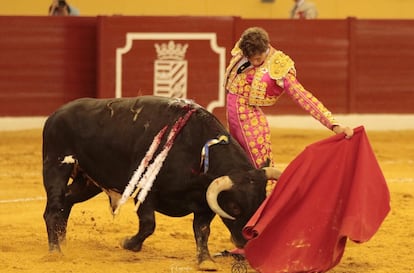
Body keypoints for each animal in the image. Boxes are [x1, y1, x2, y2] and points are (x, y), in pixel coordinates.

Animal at [42, 95, 280, 268]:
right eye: (234, 207)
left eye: (262, 202)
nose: (246, 241)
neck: (196, 151)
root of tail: (55, 114)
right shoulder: (145, 191)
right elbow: (149, 224)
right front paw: (128, 243)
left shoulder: (204, 203)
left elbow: (202, 230)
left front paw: (205, 261)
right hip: (56, 165)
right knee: (53, 209)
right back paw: (55, 251)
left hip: (88, 180)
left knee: (67, 201)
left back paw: (62, 241)